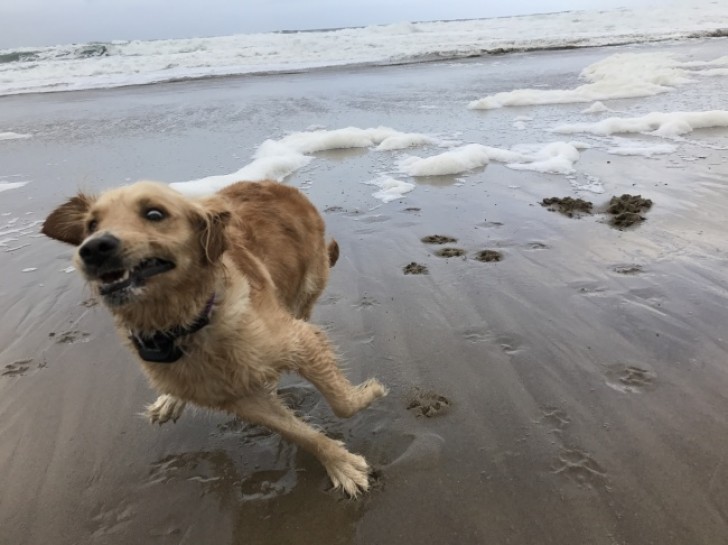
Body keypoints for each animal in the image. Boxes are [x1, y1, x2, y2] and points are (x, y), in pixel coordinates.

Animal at [41, 181, 386, 496]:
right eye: (91, 225)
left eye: (154, 213)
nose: (93, 248)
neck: (182, 326)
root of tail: (279, 185)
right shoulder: (238, 398)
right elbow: (299, 432)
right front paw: (340, 463)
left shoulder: (300, 340)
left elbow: (343, 404)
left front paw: (369, 394)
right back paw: (172, 399)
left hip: (303, 293)